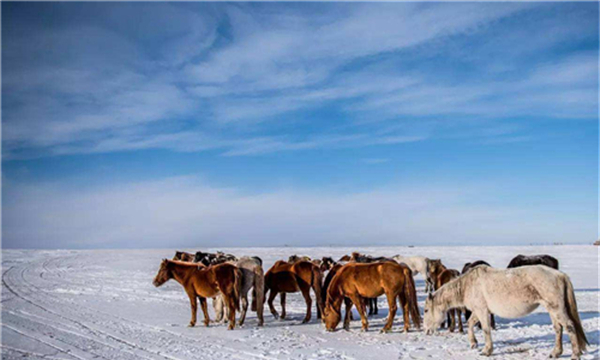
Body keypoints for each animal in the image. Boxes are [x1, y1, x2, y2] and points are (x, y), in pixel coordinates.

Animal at [424, 262, 588, 358]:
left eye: (425, 310)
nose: (426, 330)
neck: (467, 285)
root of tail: (560, 275)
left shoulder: (482, 311)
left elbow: (486, 329)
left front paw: (487, 351)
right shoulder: (479, 310)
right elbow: (470, 323)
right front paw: (473, 343)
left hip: (556, 309)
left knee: (569, 326)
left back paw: (575, 355)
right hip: (552, 309)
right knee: (558, 328)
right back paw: (555, 353)